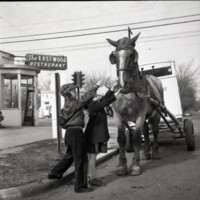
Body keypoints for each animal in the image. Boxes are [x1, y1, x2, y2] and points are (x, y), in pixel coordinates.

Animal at [107, 32, 165, 175]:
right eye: (114, 56)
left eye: (132, 55)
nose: (123, 83)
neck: (128, 93)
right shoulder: (118, 116)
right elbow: (121, 139)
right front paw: (121, 165)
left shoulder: (140, 115)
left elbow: (137, 138)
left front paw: (135, 165)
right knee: (146, 131)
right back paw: (146, 153)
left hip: (156, 113)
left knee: (155, 131)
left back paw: (155, 152)